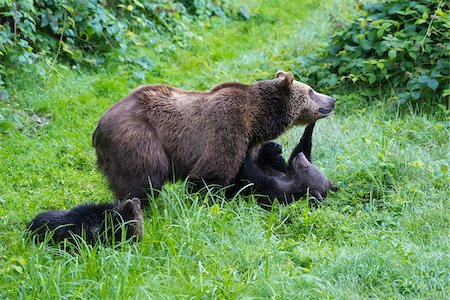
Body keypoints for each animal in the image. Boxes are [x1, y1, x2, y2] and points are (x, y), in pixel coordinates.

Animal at [93, 71, 336, 206]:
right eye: (311, 90)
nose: (332, 99)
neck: (256, 119)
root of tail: (98, 128)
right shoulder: (227, 126)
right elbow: (211, 174)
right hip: (139, 138)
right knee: (145, 179)